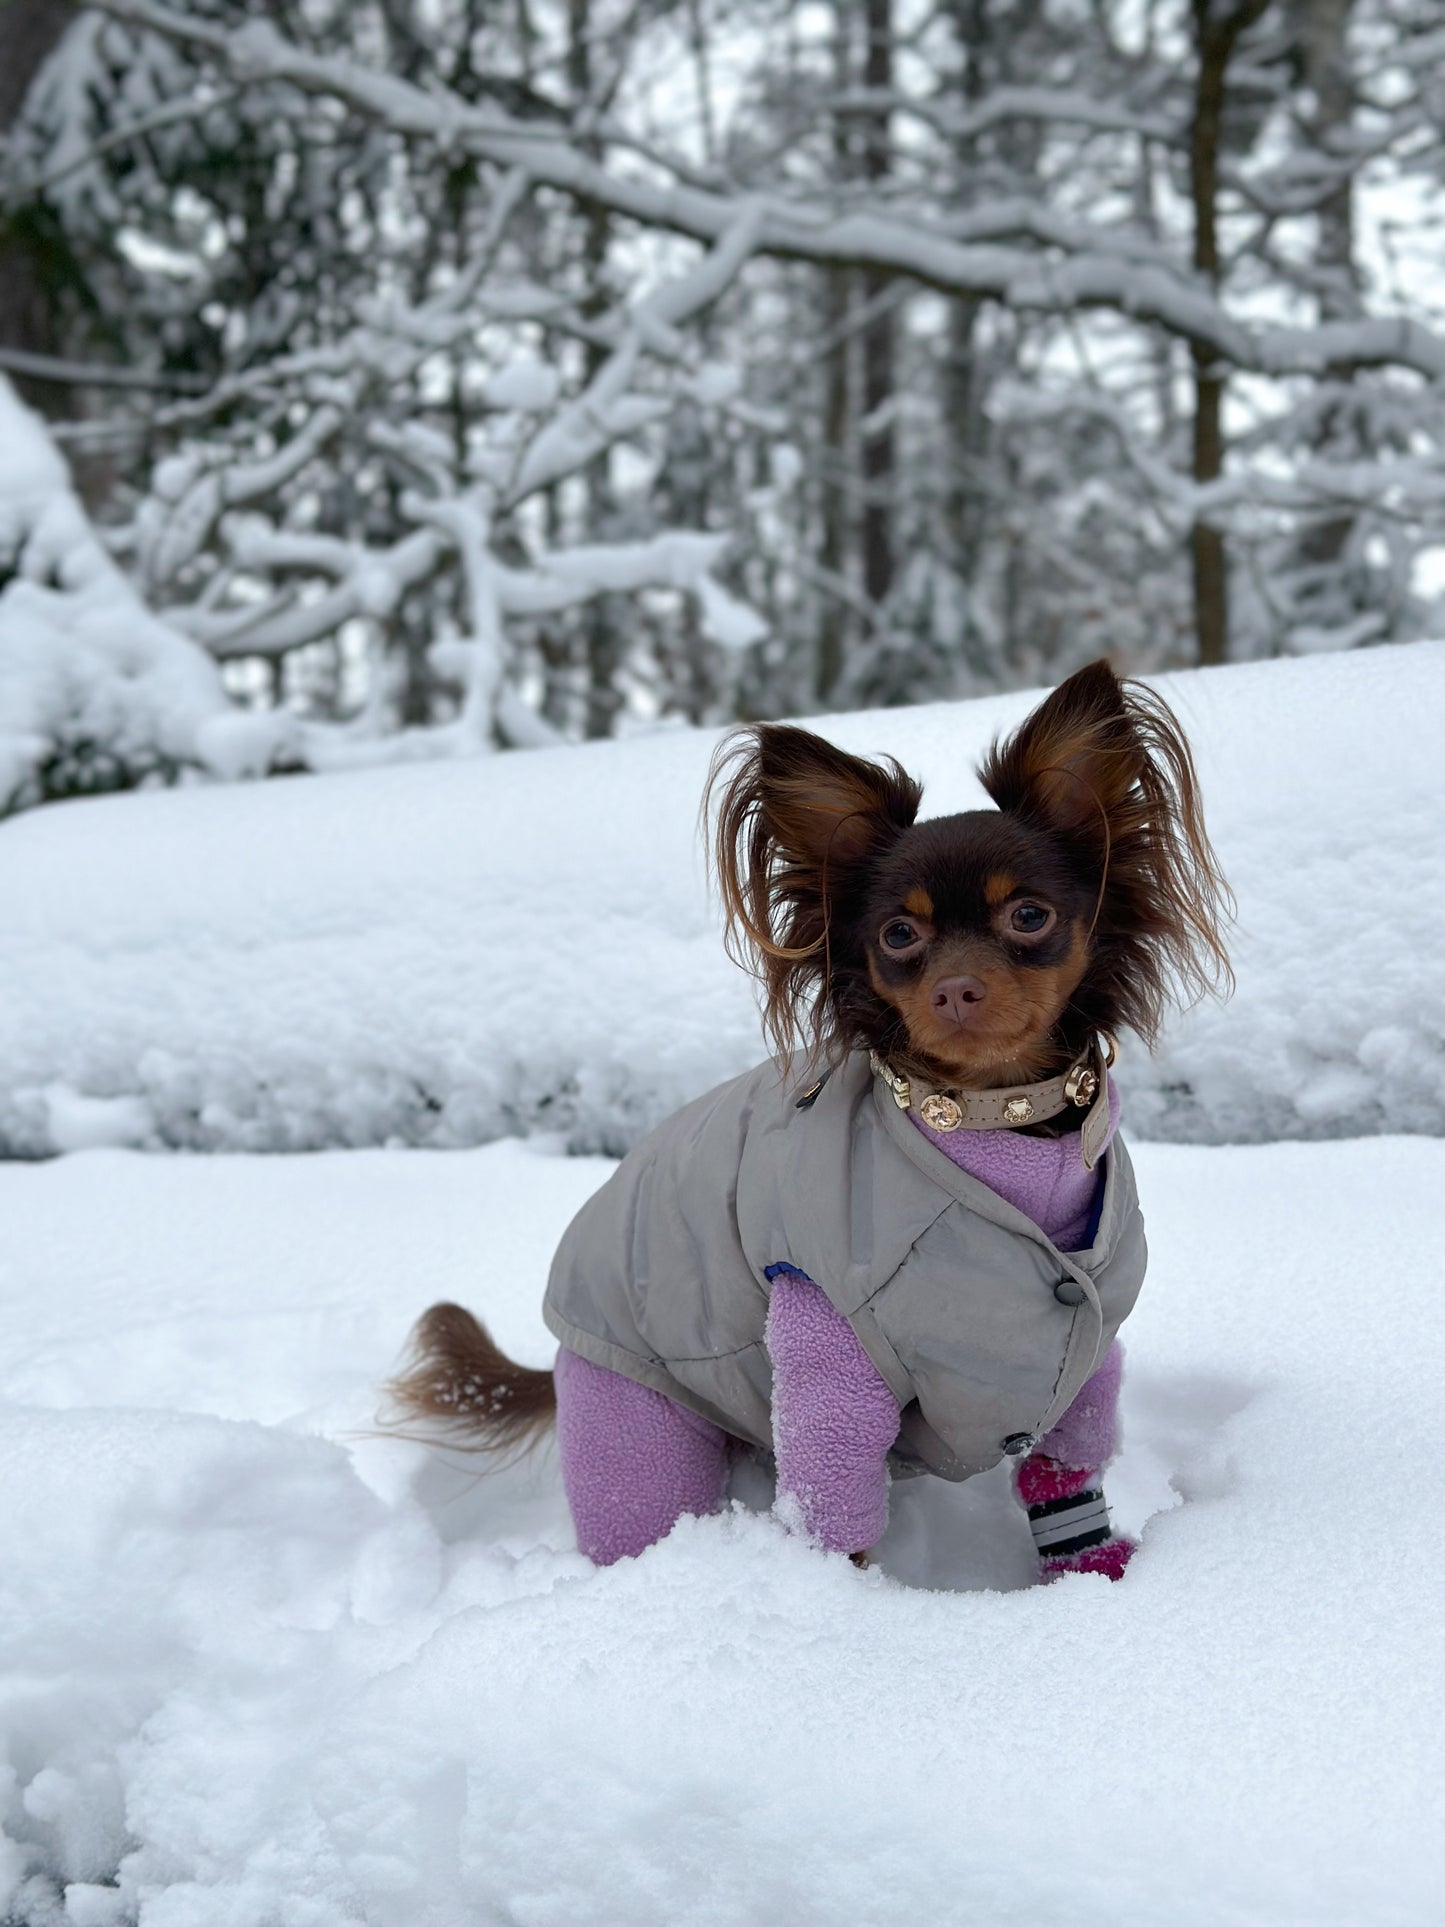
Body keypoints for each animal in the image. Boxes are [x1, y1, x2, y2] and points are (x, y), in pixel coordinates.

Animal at [391, 662, 1225, 1580]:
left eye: (1028, 916)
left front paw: (1094, 1578)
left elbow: (1066, 1473)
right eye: (898, 933)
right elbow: (834, 1506)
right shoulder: (827, 1351)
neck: (995, 1127)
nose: (955, 989)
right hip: (639, 1428)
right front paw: (835, 1608)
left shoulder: (1080, 1354)